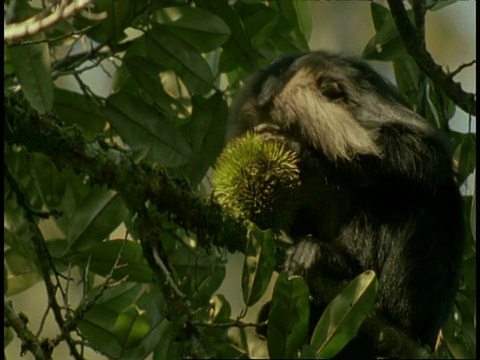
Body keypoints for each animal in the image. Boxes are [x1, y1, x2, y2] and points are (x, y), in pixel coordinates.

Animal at [228, 50, 464, 358]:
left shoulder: (360, 91)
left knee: (423, 198)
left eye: (292, 128)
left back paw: (345, 266)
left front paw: (305, 155)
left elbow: (427, 156)